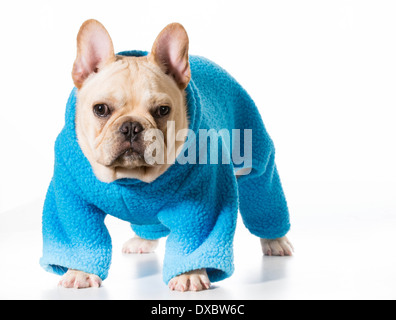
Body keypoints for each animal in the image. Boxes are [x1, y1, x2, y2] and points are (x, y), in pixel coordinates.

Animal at [40, 18, 292, 292]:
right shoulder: (72, 199)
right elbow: (79, 235)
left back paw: (275, 240)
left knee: (263, 192)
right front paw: (80, 273)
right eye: (100, 109)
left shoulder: (202, 201)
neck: (132, 179)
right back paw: (143, 240)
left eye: (162, 110)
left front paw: (189, 274)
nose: (131, 126)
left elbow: (193, 239)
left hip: (255, 155)